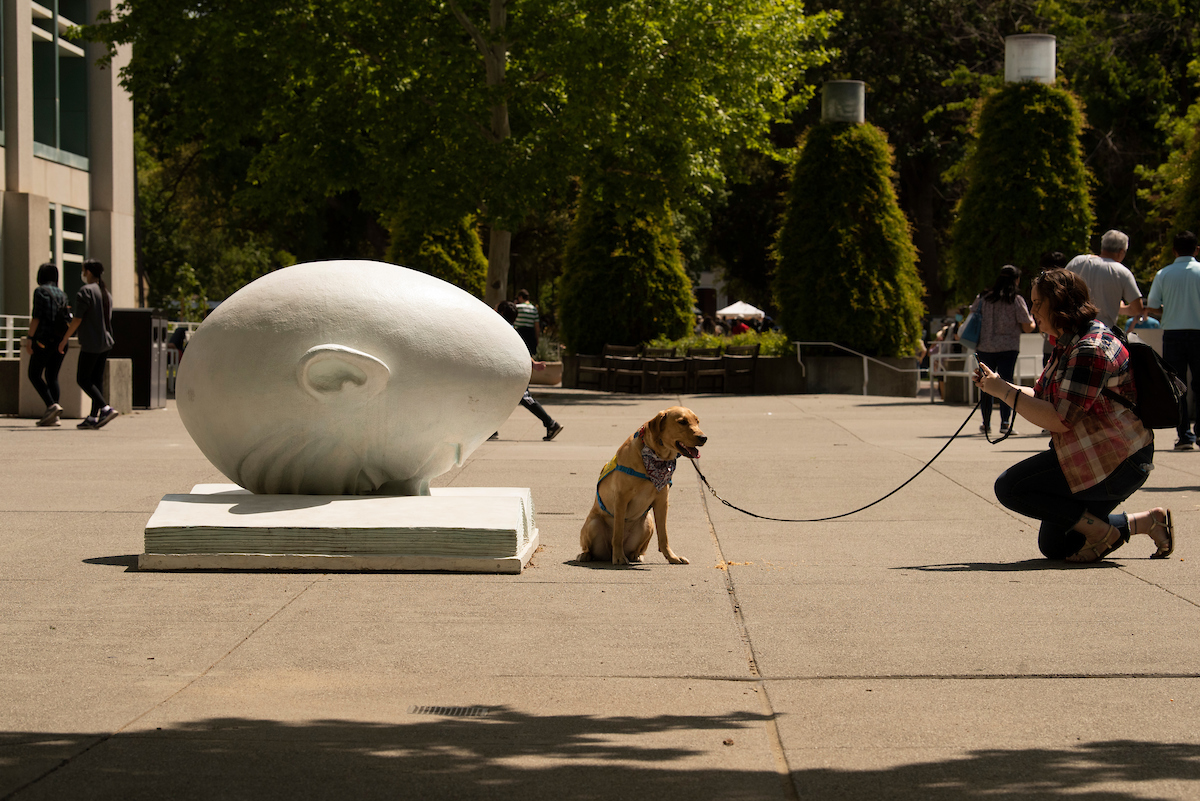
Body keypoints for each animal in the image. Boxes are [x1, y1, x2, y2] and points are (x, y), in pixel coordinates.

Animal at [578, 407, 700, 563]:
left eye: (697, 421)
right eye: (682, 422)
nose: (704, 437)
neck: (656, 457)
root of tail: (607, 555)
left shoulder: (662, 501)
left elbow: (664, 536)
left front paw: (672, 557)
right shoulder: (621, 498)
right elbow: (618, 533)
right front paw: (619, 557)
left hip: (648, 523)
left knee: (638, 549)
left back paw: (636, 555)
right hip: (593, 524)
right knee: (592, 548)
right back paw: (586, 555)